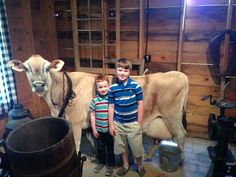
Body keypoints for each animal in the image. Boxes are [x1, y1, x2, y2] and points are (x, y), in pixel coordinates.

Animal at [8, 54, 188, 161]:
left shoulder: (75, 122)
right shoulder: (87, 122)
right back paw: (148, 155)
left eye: (47, 68)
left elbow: (77, 143)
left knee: (181, 135)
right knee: (158, 139)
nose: (39, 85)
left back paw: (181, 161)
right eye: (26, 68)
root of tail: (180, 74)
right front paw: (96, 154)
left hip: (172, 117)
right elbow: (91, 138)